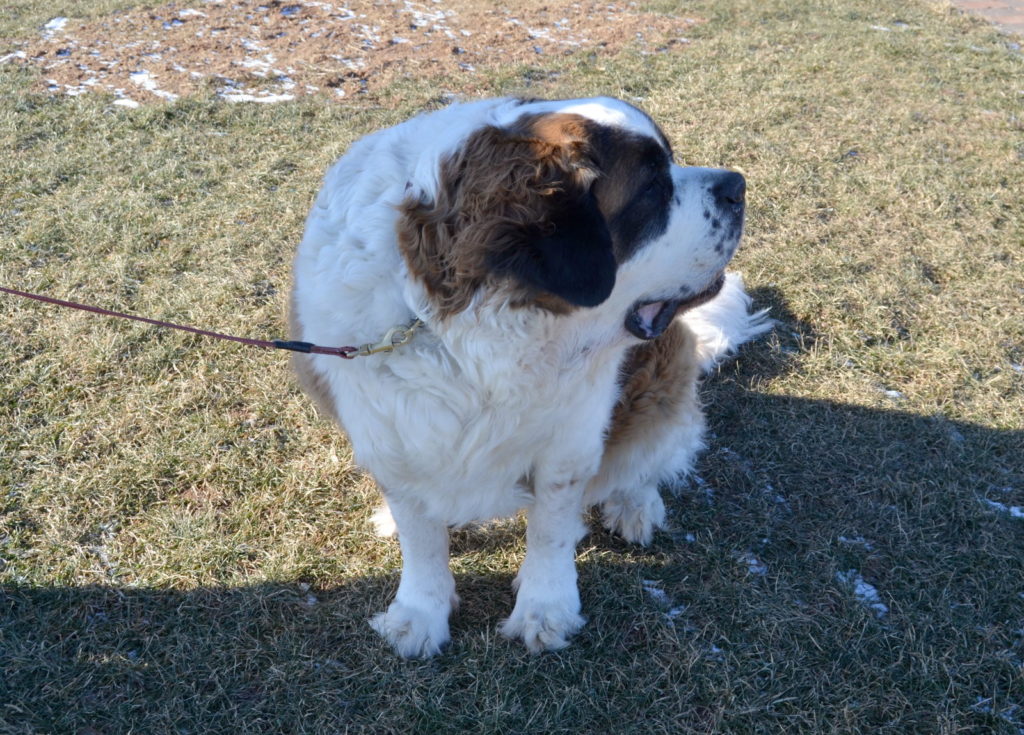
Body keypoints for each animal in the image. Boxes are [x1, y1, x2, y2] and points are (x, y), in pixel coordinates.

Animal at [288, 95, 770, 659]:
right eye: (652, 188)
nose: (737, 184)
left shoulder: (571, 440)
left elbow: (551, 528)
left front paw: (545, 609)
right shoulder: (391, 434)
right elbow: (421, 537)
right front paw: (419, 613)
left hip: (664, 370)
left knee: (651, 456)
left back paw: (635, 503)